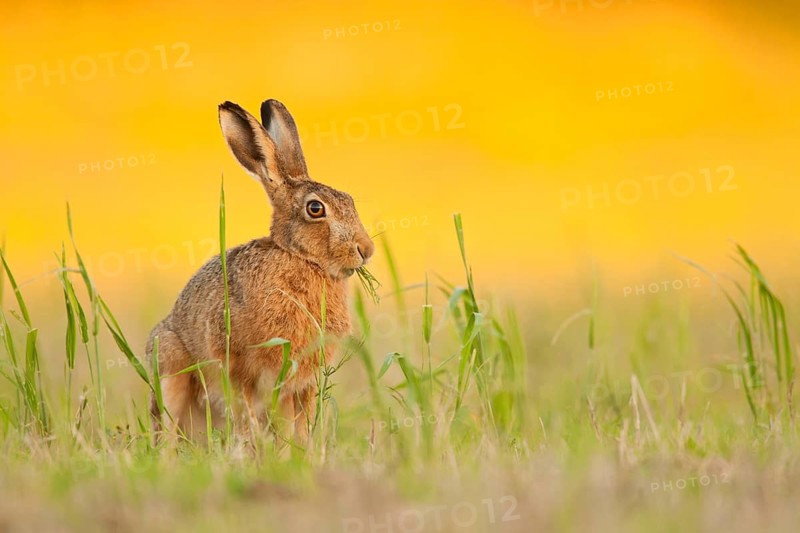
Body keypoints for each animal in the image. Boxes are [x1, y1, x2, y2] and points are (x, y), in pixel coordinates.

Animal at [146, 99, 375, 443]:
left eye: (348, 200)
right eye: (315, 209)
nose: (366, 250)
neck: (298, 258)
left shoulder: (303, 383)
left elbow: (302, 424)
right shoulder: (242, 370)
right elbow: (249, 415)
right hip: (170, 369)